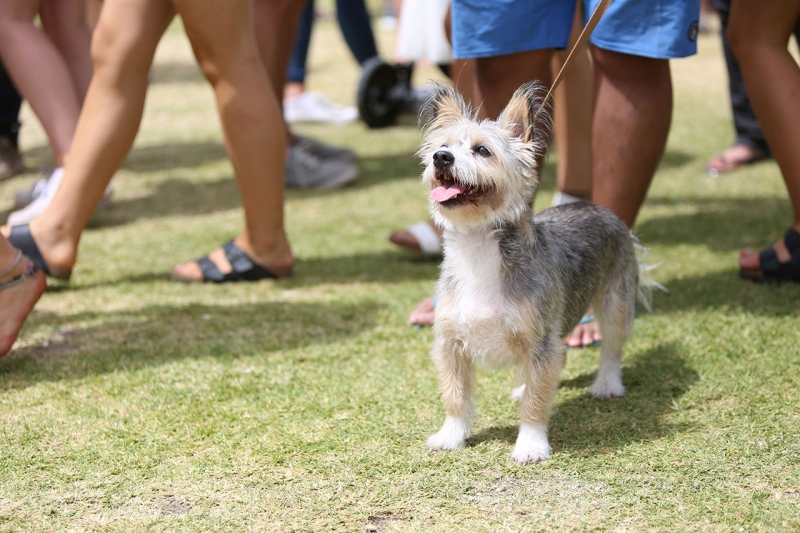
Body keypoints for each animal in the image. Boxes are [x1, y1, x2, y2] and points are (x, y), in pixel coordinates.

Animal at [422, 81, 652, 464]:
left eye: (482, 150)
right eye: (442, 147)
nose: (441, 158)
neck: (478, 248)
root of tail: (597, 206)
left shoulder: (541, 340)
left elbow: (535, 403)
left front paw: (530, 443)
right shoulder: (450, 343)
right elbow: (454, 396)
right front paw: (451, 435)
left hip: (615, 304)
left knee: (611, 350)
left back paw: (606, 384)